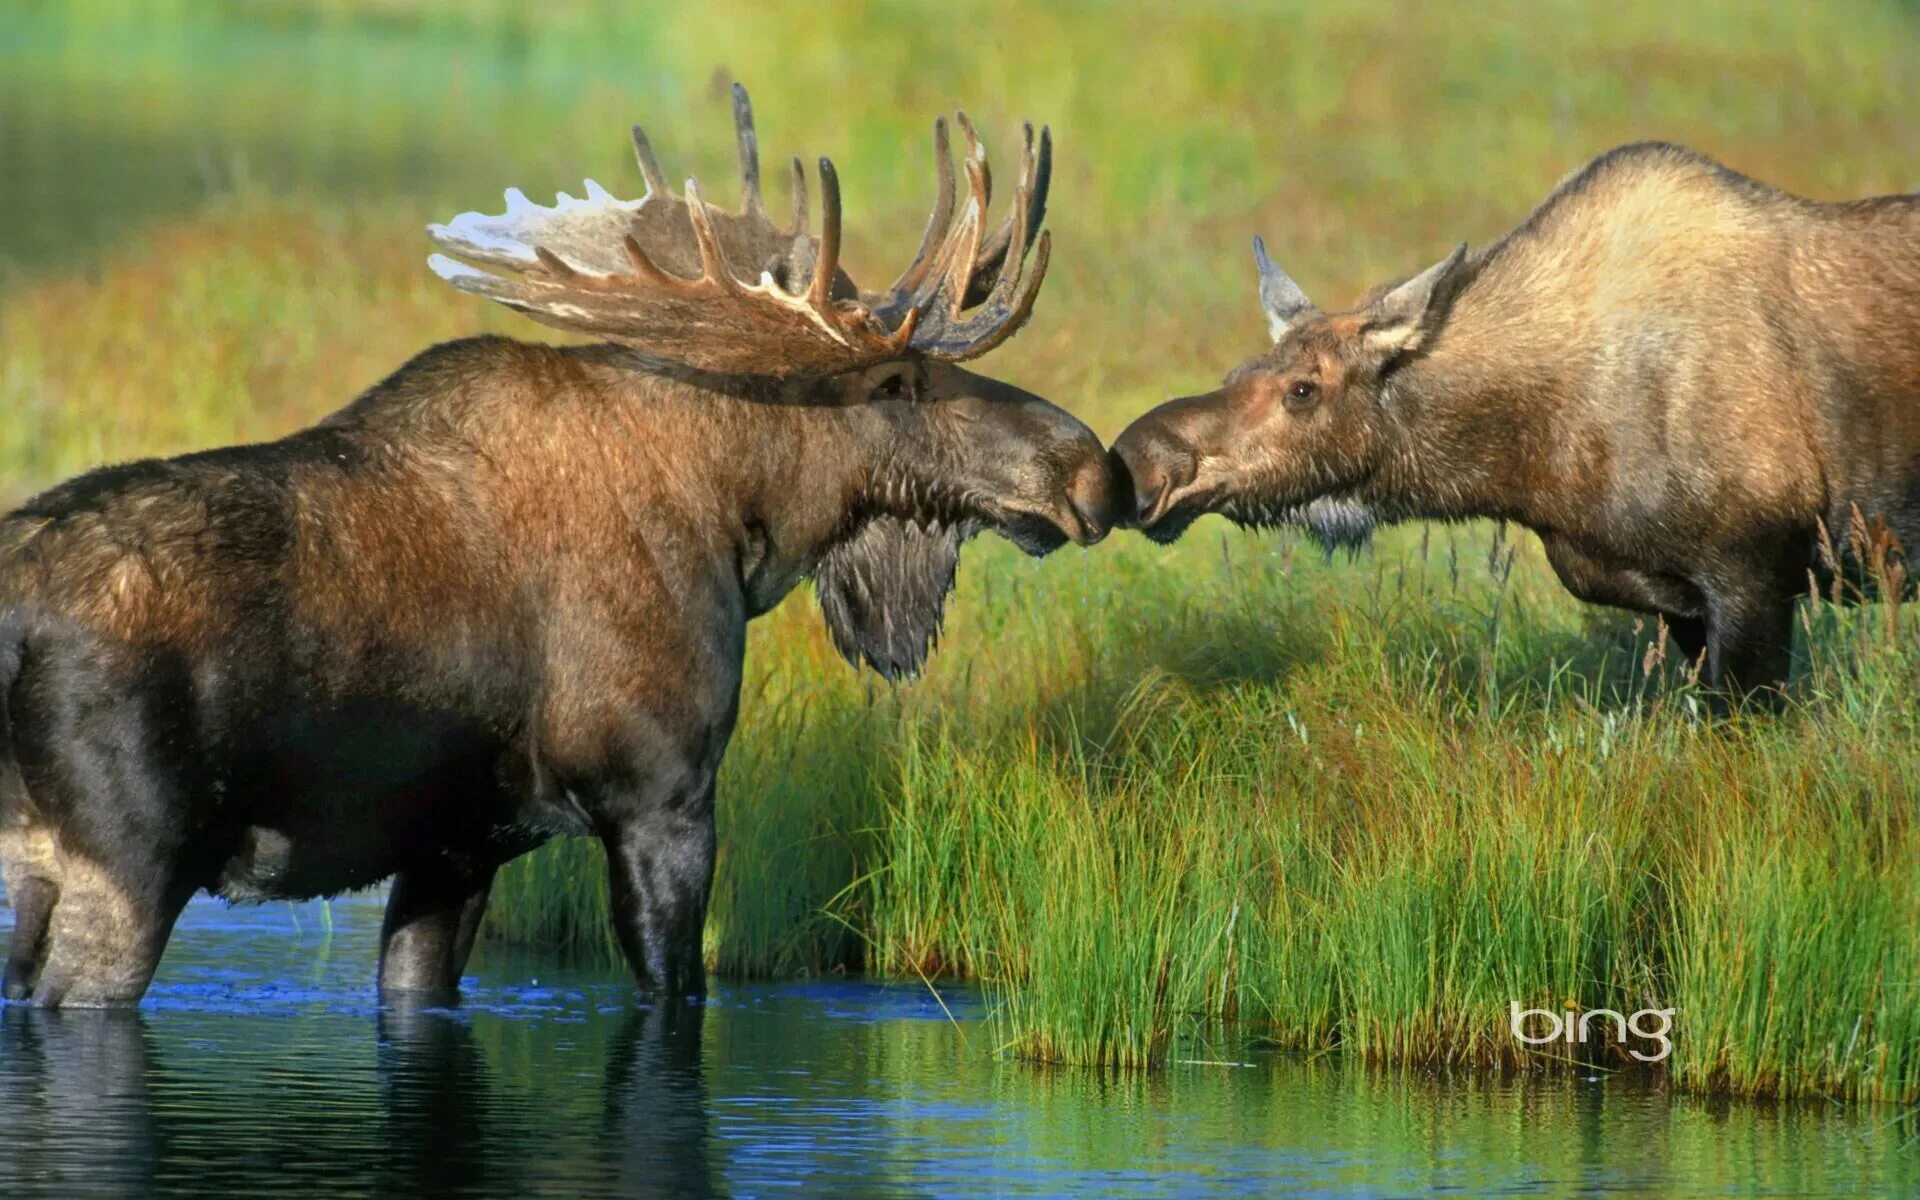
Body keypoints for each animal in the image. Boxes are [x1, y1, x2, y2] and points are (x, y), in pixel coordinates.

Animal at [0, 86, 1113, 998]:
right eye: (900, 382)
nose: (1093, 469)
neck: (737, 524)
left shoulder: (455, 847)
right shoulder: (664, 796)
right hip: (126, 856)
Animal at [1113, 144, 1920, 698]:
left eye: (1303, 390)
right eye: (1236, 373)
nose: (1141, 458)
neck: (1534, 463)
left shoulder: (1755, 574)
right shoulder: (1679, 603)